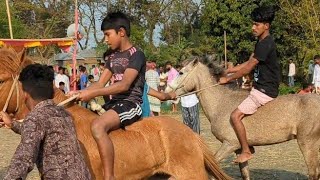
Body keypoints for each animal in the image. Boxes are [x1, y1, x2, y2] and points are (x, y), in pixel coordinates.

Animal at [172, 58, 320, 180]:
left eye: (181, 72)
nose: (170, 93)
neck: (221, 102)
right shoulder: (239, 150)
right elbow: (245, 173)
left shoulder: (229, 144)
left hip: (307, 143)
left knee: (313, 174)